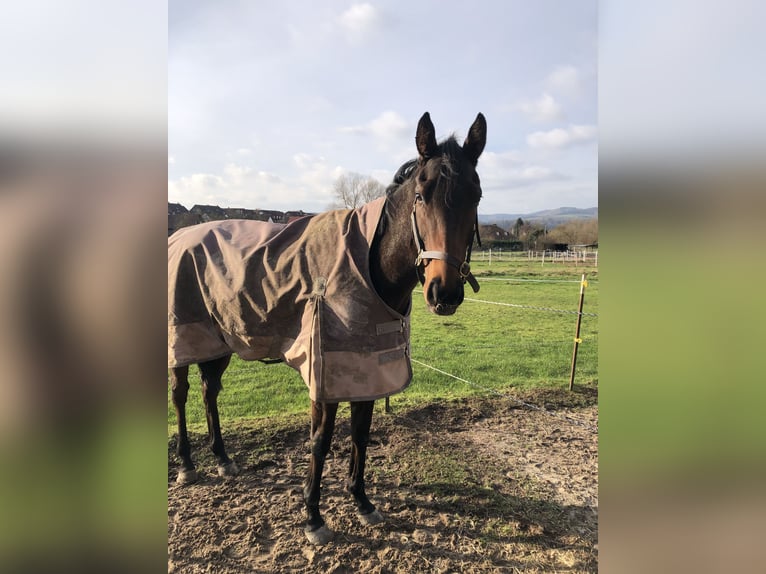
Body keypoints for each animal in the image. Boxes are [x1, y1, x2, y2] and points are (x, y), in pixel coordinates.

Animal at [168, 111, 486, 545]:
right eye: (422, 195)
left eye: (476, 196)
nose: (445, 291)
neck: (370, 263)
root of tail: (179, 236)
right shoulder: (326, 374)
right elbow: (320, 442)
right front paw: (313, 517)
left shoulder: (366, 367)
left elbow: (361, 434)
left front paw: (362, 501)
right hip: (184, 340)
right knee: (181, 395)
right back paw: (186, 464)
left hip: (220, 340)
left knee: (208, 391)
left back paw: (222, 458)